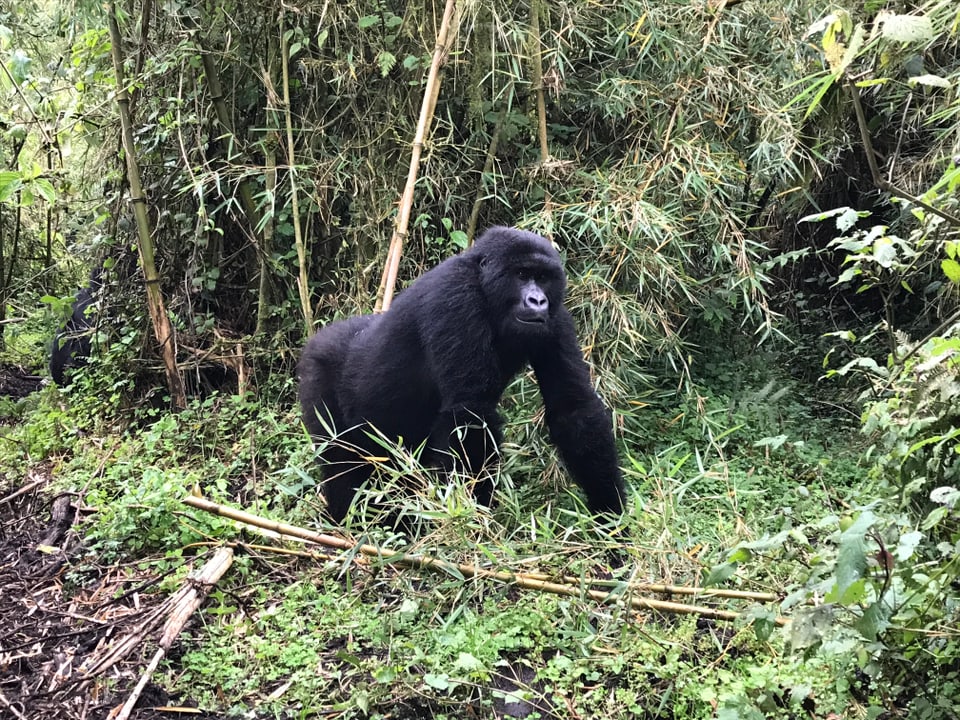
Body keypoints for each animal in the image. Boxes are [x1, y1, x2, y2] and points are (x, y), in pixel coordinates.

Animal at [300, 225, 632, 524]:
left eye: (543, 277)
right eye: (522, 274)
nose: (538, 300)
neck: (486, 286)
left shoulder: (557, 315)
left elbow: (573, 408)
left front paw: (611, 519)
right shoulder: (456, 295)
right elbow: (470, 412)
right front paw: (472, 526)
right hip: (319, 370)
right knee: (342, 459)